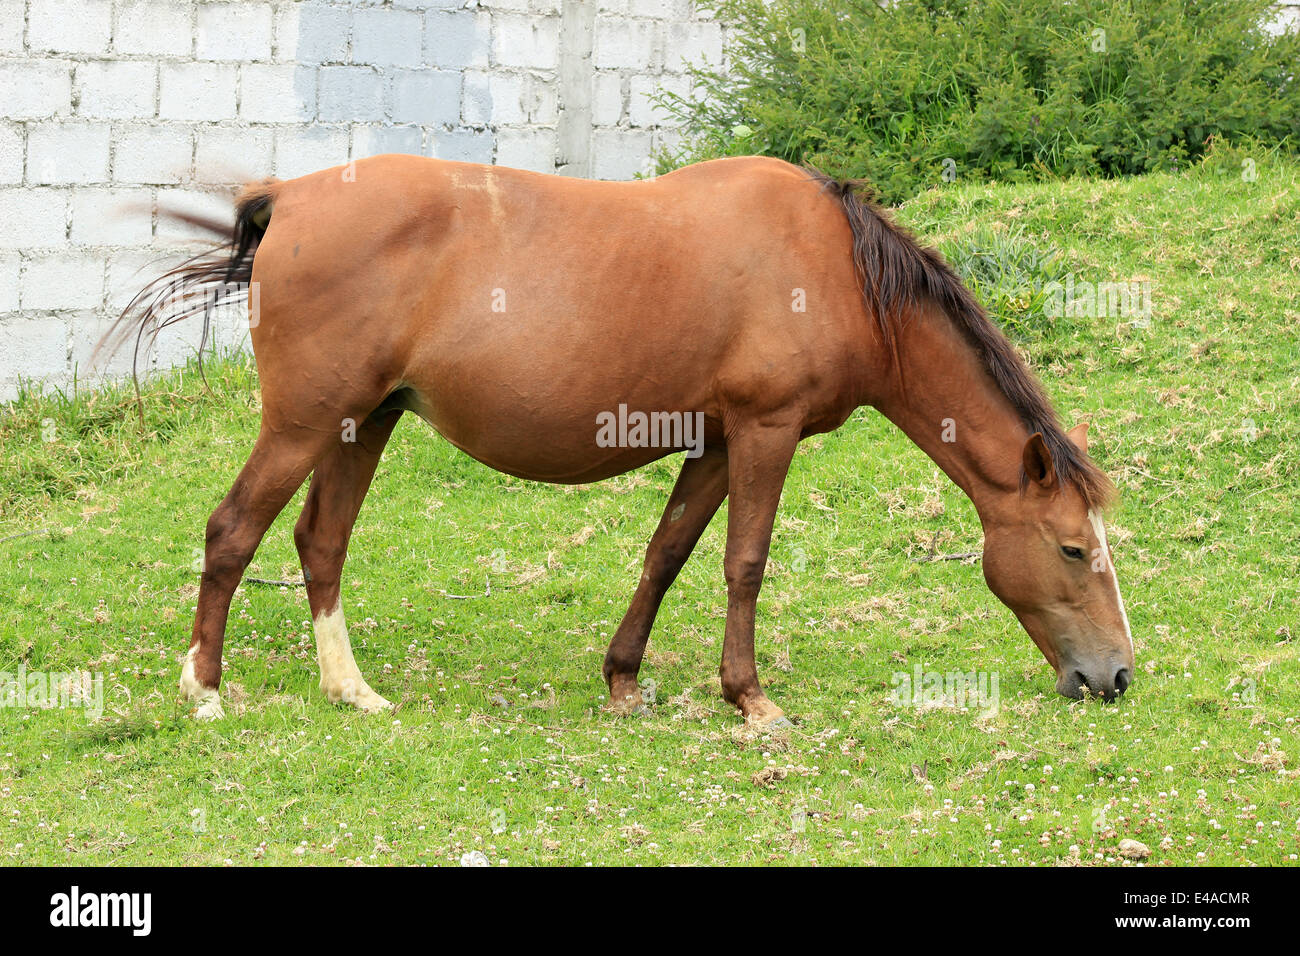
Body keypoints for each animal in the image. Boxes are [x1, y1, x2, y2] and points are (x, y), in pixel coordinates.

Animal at [106, 155, 1133, 723]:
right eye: (1072, 549)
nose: (1115, 674)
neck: (834, 267)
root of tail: (289, 198)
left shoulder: (714, 441)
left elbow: (668, 552)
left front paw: (624, 680)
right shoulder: (766, 431)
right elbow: (745, 562)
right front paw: (751, 700)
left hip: (364, 423)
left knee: (319, 543)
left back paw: (349, 690)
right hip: (305, 424)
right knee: (232, 532)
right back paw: (205, 690)